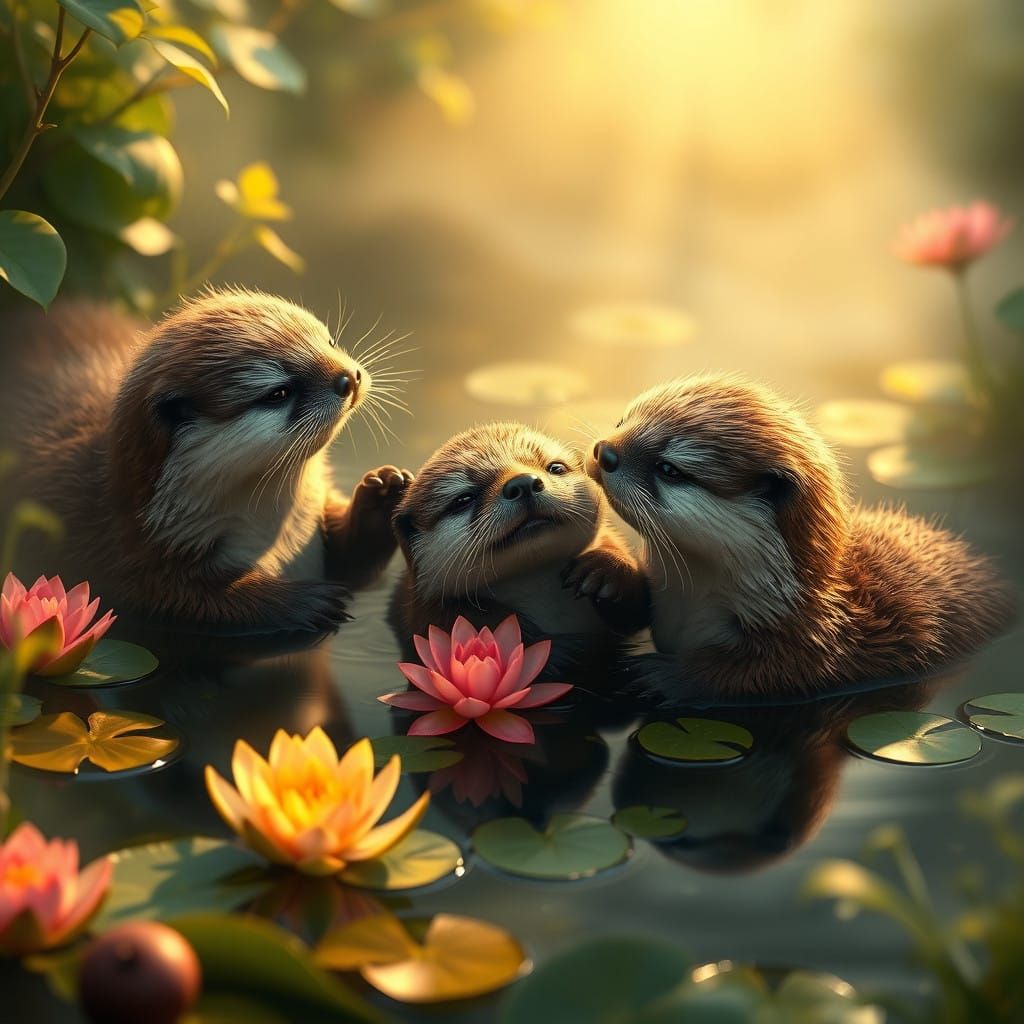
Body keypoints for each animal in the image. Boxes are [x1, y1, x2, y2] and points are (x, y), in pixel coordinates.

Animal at [0, 289, 412, 635]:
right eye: (278, 392)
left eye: (329, 341)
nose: (349, 378)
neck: (279, 538)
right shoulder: (129, 557)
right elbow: (185, 599)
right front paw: (301, 601)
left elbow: (357, 567)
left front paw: (383, 490)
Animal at [588, 375, 1015, 699]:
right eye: (622, 421)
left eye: (669, 469)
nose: (604, 451)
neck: (689, 603)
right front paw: (607, 570)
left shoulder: (819, 641)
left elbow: (771, 673)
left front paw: (665, 674)